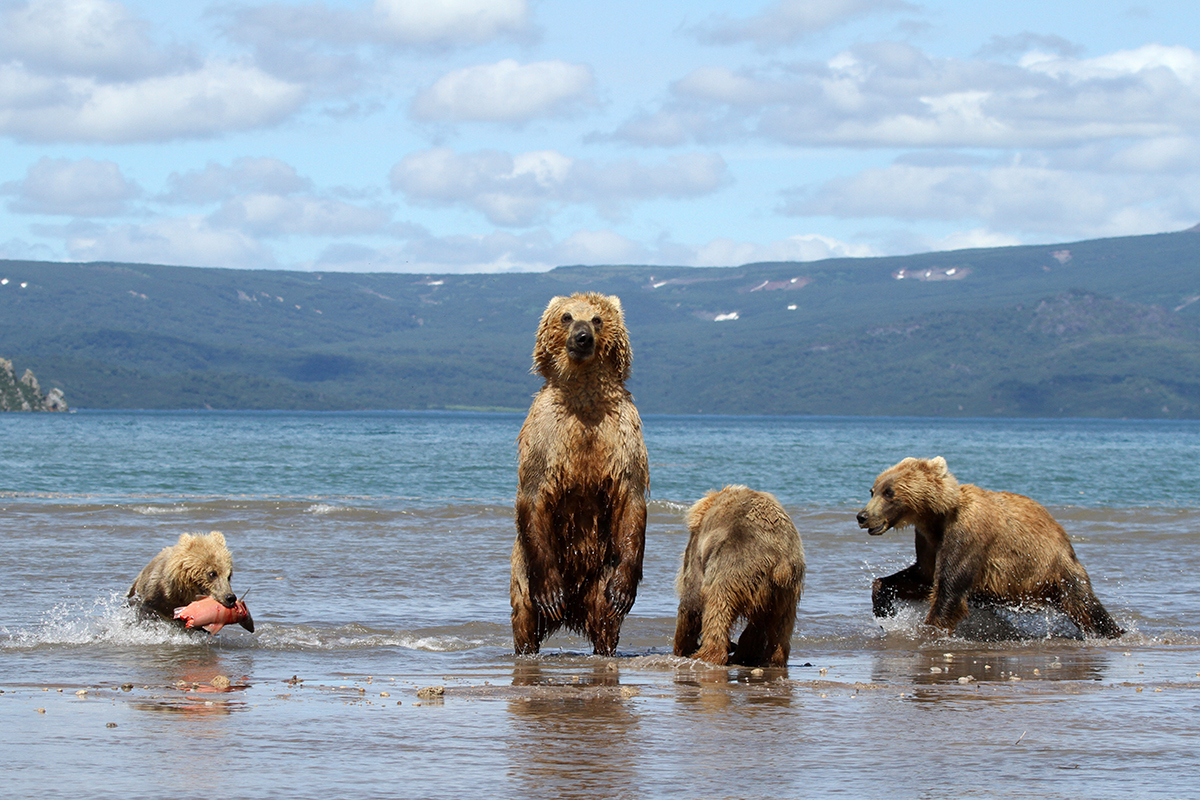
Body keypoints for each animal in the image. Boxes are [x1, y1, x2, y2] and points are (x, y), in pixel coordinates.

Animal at [511, 293, 652, 657]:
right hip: (523, 566)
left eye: (598, 319)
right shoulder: (546, 432)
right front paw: (550, 594)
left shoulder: (623, 434)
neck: (585, 398)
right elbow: (533, 492)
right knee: (525, 616)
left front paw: (624, 591)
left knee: (605, 616)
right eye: (567, 316)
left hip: (601, 569)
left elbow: (631, 495)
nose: (582, 337)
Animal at [676, 489, 806, 671]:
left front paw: (681, 648)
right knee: (779, 622)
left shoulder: (698, 551)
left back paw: (707, 655)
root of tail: (780, 556)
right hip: (786, 588)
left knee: (717, 604)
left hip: (734, 563)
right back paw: (767, 658)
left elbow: (691, 600)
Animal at [854, 455, 1123, 638]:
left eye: (889, 492)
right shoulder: (927, 540)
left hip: (1053, 569)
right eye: (872, 490)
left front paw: (929, 629)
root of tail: (1062, 534)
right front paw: (884, 609)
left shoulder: (968, 534)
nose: (862, 516)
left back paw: (1114, 631)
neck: (936, 517)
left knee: (1086, 606)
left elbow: (948, 589)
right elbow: (923, 576)